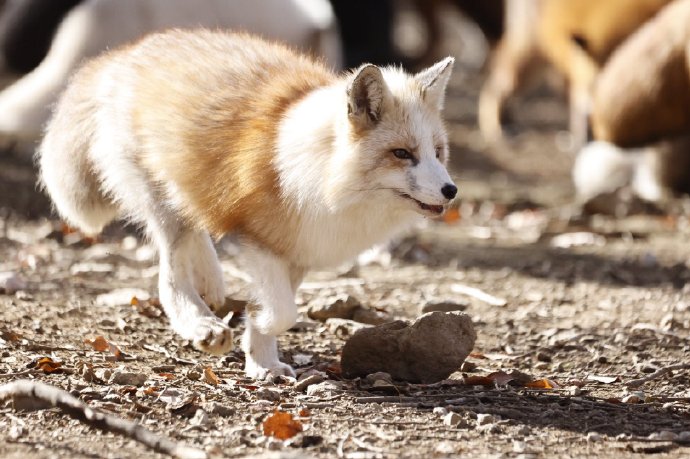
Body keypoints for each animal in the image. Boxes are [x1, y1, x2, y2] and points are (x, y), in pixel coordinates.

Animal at [37, 29, 456, 380]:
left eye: (438, 152)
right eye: (402, 154)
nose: (451, 191)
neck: (322, 174)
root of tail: (124, 52)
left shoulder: (298, 250)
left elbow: (277, 310)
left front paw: (262, 359)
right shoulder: (258, 239)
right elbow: (284, 313)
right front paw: (258, 327)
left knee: (196, 229)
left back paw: (211, 282)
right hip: (163, 203)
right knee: (169, 278)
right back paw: (201, 324)